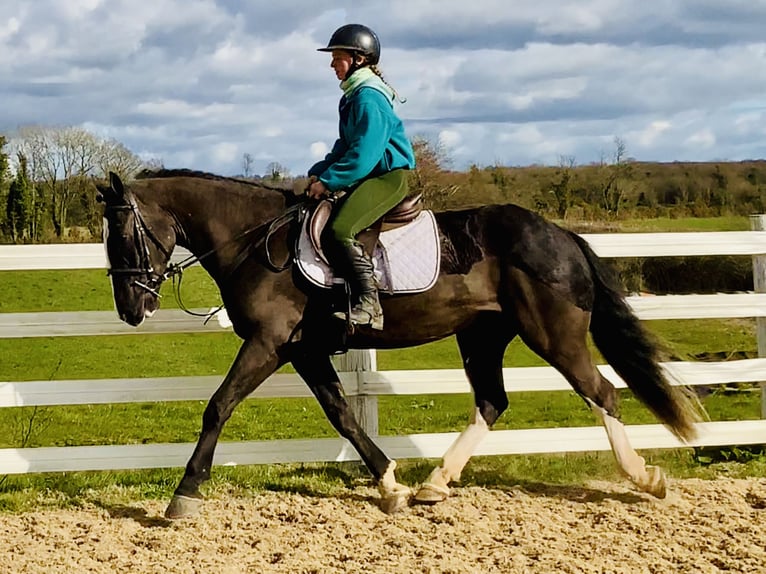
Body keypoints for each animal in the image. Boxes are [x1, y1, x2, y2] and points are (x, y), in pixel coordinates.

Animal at [96, 169, 704, 520]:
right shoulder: (303, 350)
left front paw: (183, 495)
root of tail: (561, 234)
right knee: (493, 401)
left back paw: (645, 478)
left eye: (122, 233)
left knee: (602, 392)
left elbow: (218, 406)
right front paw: (390, 486)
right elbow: (342, 415)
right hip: (481, 336)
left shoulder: (270, 344)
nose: (130, 309)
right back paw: (434, 484)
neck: (256, 241)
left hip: (552, 335)